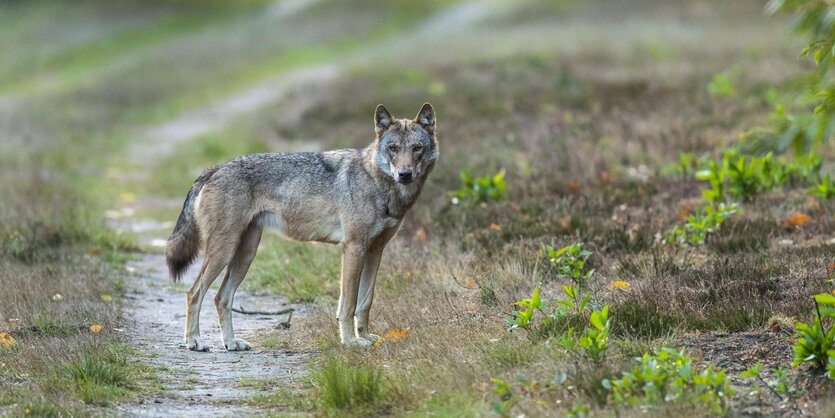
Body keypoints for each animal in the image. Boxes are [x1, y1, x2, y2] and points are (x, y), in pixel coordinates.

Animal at [163, 103, 438, 352]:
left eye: (417, 148)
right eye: (393, 148)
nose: (405, 174)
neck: (379, 184)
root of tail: (215, 168)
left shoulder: (375, 251)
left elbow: (365, 301)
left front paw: (367, 337)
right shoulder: (353, 248)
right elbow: (348, 304)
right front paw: (351, 342)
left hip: (245, 254)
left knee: (221, 297)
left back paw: (231, 343)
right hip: (223, 252)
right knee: (193, 292)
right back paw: (194, 342)